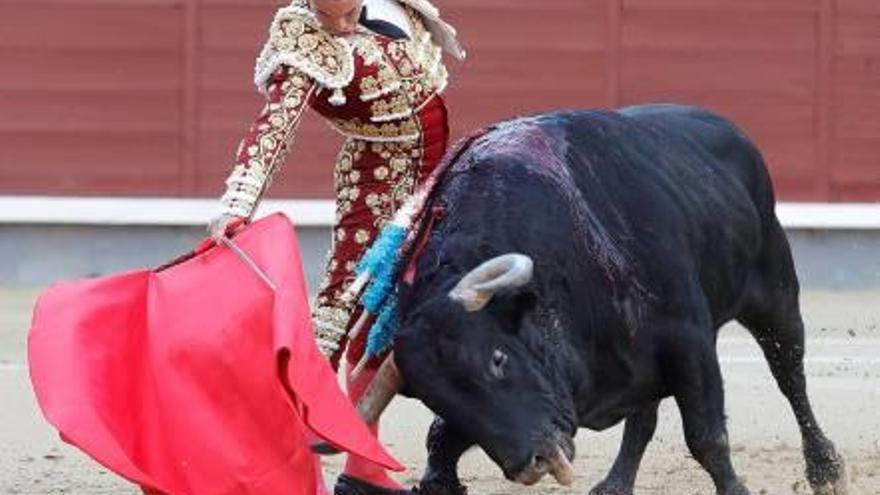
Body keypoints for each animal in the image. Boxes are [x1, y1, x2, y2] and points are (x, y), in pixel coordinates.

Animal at [364, 104, 844, 495]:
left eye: (498, 359)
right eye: (434, 397)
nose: (533, 462)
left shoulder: (689, 341)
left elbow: (707, 438)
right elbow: (440, 440)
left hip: (775, 297)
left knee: (790, 377)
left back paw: (826, 470)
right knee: (644, 416)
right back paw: (615, 484)